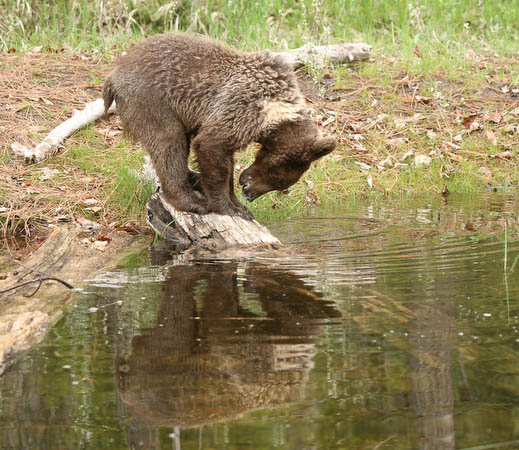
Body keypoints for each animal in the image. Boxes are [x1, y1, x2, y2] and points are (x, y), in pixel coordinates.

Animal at [103, 33, 338, 220]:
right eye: (278, 178)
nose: (250, 195)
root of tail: (113, 74)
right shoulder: (240, 108)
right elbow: (212, 151)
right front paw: (231, 208)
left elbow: (225, 158)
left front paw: (238, 203)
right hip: (151, 99)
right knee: (169, 142)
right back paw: (192, 201)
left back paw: (193, 179)